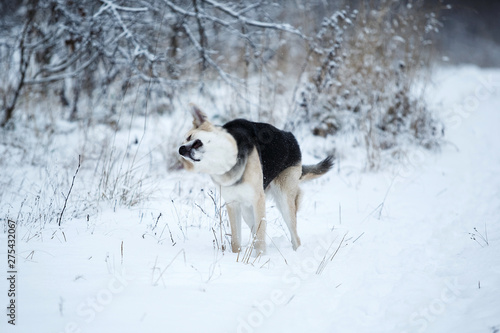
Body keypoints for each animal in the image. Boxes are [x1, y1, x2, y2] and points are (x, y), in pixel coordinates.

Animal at [178, 105, 334, 253]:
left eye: (189, 137)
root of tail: (290, 136)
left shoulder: (257, 200)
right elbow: (236, 241)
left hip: (283, 202)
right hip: (247, 210)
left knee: (295, 237)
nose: (180, 150)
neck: (227, 162)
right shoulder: (233, 204)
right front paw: (236, 257)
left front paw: (259, 258)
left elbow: (260, 239)